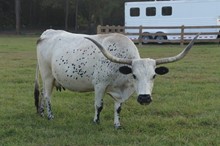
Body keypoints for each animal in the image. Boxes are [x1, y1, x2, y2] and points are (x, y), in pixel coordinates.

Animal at [34, 29, 199, 128]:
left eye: (154, 76)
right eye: (134, 75)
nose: (144, 98)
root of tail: (46, 34)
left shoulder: (121, 92)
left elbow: (118, 108)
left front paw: (117, 125)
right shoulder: (99, 85)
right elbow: (98, 105)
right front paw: (96, 121)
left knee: (42, 93)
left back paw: (41, 113)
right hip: (47, 75)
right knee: (47, 96)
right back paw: (50, 116)